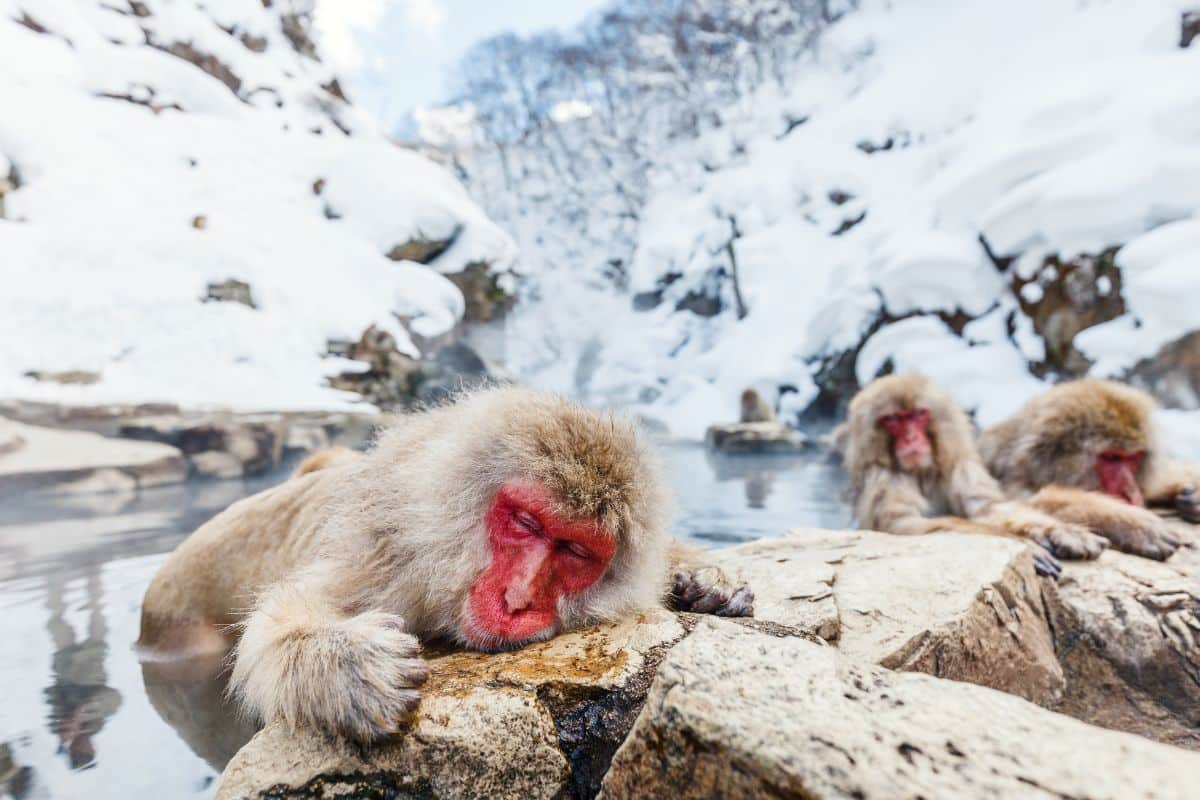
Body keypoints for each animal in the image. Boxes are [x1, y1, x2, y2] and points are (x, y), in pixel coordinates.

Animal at [138, 387, 753, 743]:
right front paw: (345, 665)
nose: (518, 598)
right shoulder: (387, 561)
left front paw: (707, 579)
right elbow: (282, 620)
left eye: (575, 551)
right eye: (526, 523)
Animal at [838, 373, 1107, 576]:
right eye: (893, 420)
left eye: (918, 415)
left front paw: (1062, 532)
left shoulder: (960, 466)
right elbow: (901, 523)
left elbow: (986, 508)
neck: (921, 472)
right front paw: (1025, 545)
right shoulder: (882, 477)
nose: (911, 438)